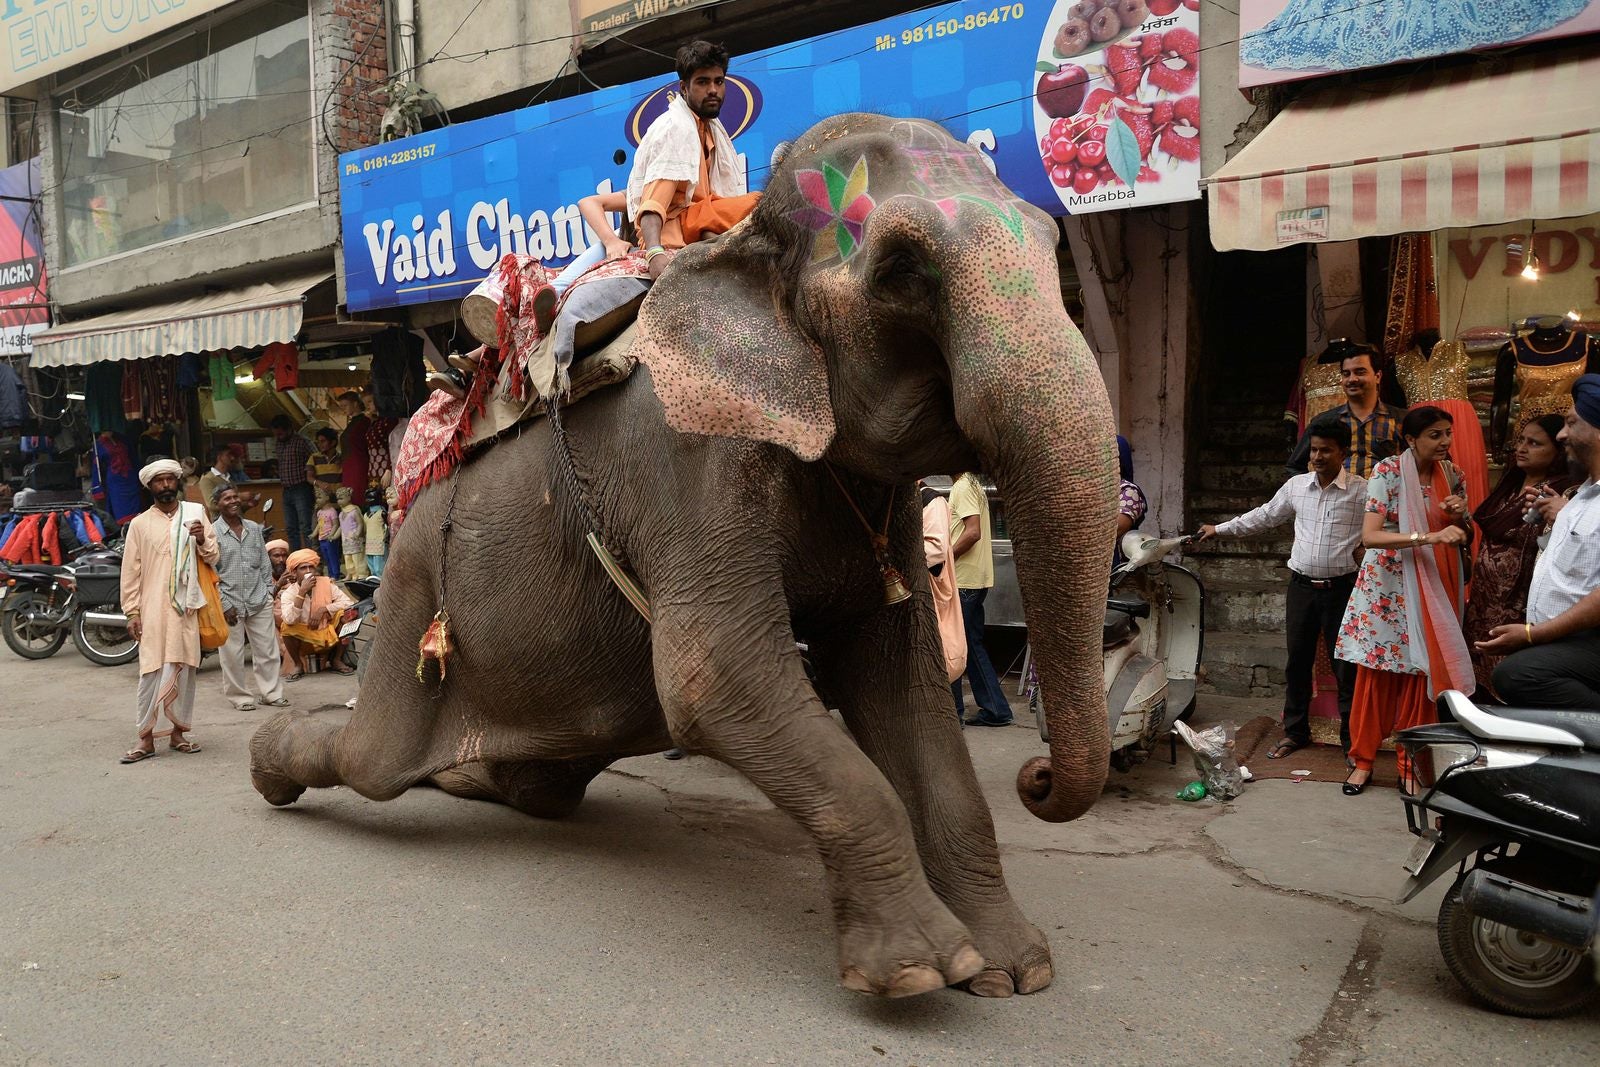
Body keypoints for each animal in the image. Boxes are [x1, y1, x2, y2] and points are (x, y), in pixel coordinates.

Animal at [250, 113, 1118, 999]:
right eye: (902, 270)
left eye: (1053, 242)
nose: (1038, 777)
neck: (745, 248)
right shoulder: (690, 466)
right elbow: (714, 676)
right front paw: (918, 970)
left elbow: (901, 682)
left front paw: (1011, 967)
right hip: (418, 580)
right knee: (373, 760)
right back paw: (272, 764)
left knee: (541, 782)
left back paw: (466, 777)